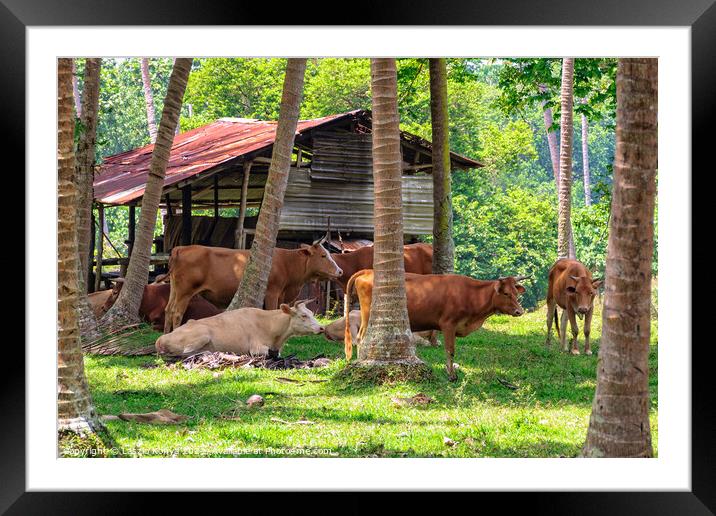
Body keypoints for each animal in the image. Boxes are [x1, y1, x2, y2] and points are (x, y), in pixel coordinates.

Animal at [158, 300, 326, 356]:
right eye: (303, 315)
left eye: (312, 313)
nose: (321, 328)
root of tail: (161, 338)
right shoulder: (256, 348)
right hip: (203, 335)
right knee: (186, 353)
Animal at [164, 243, 342, 334]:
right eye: (323, 255)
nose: (340, 271)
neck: (286, 262)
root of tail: (181, 248)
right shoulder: (272, 292)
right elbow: (271, 310)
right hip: (185, 292)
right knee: (177, 313)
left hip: (174, 290)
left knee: (168, 310)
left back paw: (166, 335)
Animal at [344, 268, 524, 380]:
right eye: (506, 293)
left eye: (516, 293)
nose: (519, 311)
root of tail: (369, 270)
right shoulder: (448, 324)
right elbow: (450, 350)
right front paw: (451, 375)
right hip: (369, 315)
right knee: (360, 338)